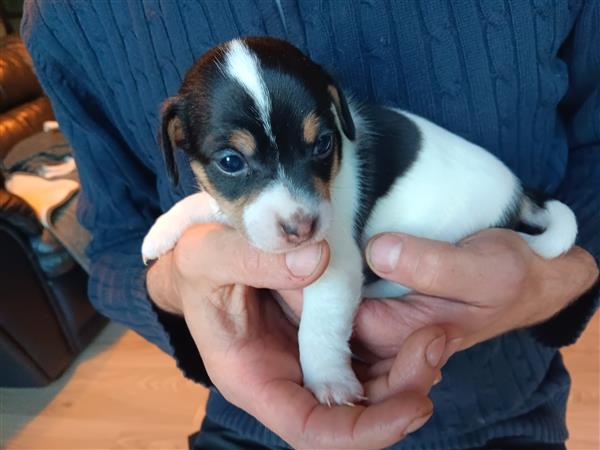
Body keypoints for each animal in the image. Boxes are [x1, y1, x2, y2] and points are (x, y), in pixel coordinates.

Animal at [141, 37, 576, 406]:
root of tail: (518, 192)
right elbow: (210, 202)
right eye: (231, 162)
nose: (302, 228)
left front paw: (328, 379)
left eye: (323, 144)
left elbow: (318, 325)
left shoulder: (336, 262)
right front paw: (163, 228)